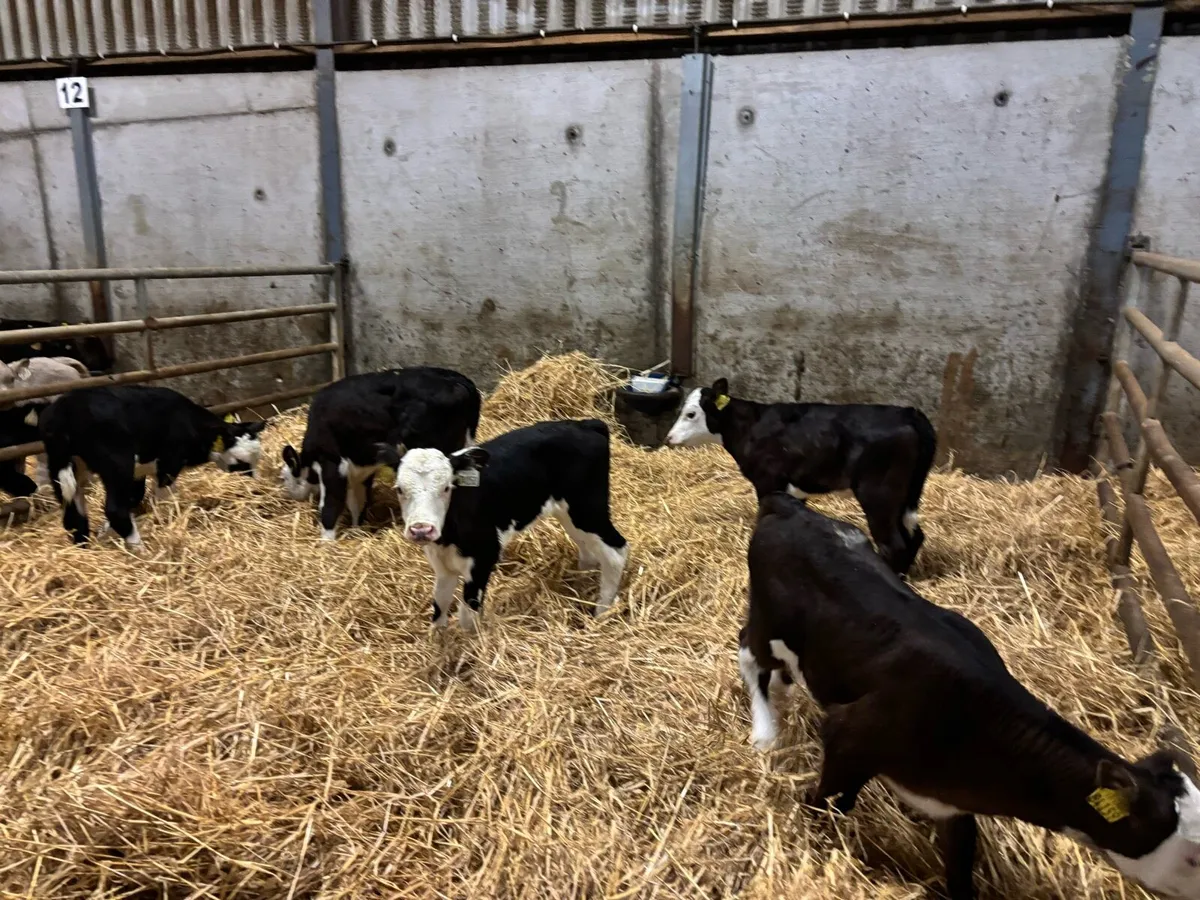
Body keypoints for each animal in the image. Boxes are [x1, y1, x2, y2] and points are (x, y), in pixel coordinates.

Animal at [40, 385, 266, 547]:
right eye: (242, 464)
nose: (257, 486)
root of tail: (64, 410)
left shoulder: (139, 471)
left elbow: (135, 497)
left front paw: (105, 534)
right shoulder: (168, 464)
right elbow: (165, 499)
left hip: (61, 465)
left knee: (73, 514)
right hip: (116, 462)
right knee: (114, 509)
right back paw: (139, 550)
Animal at [280, 367, 481, 541]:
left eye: (285, 477)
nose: (288, 495)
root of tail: (458, 380)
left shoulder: (331, 463)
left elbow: (330, 506)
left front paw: (327, 543)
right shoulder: (360, 469)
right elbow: (358, 502)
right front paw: (356, 530)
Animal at [375, 419, 628, 630]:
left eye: (447, 487)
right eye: (399, 489)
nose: (421, 530)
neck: (449, 535)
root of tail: (586, 424)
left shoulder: (483, 558)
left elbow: (467, 617)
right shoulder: (442, 565)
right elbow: (439, 607)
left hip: (587, 508)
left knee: (616, 551)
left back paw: (601, 613)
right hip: (569, 514)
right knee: (588, 549)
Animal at [665, 378, 936, 575]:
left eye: (691, 414)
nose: (669, 438)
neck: (749, 427)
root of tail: (910, 413)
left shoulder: (768, 482)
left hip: (879, 494)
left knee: (894, 544)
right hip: (905, 497)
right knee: (915, 536)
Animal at [739, 492, 1200, 900]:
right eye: (1193, 857)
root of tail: (790, 506)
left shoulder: (953, 806)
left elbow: (959, 873)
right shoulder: (845, 734)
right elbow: (822, 801)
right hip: (767, 620)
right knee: (747, 649)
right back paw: (765, 732)